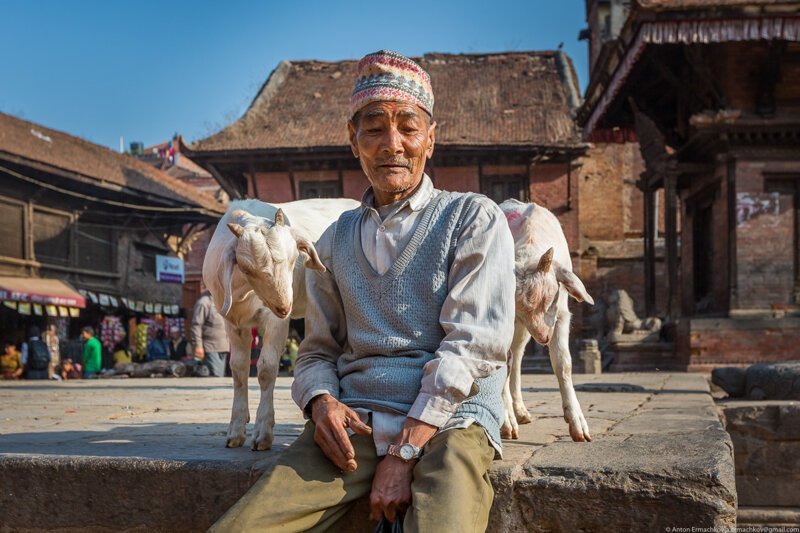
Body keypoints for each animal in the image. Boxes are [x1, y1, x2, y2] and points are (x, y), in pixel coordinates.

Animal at [205, 197, 358, 446]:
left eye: (294, 259)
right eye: (247, 268)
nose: (285, 306)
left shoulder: (274, 320)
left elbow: (266, 368)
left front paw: (263, 433)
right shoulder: (232, 320)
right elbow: (238, 369)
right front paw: (236, 430)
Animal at [500, 198, 592, 440]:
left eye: (551, 298)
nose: (544, 337)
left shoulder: (561, 314)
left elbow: (564, 364)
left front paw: (578, 427)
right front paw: (506, 424)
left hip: (522, 332)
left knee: (518, 355)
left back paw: (521, 412)